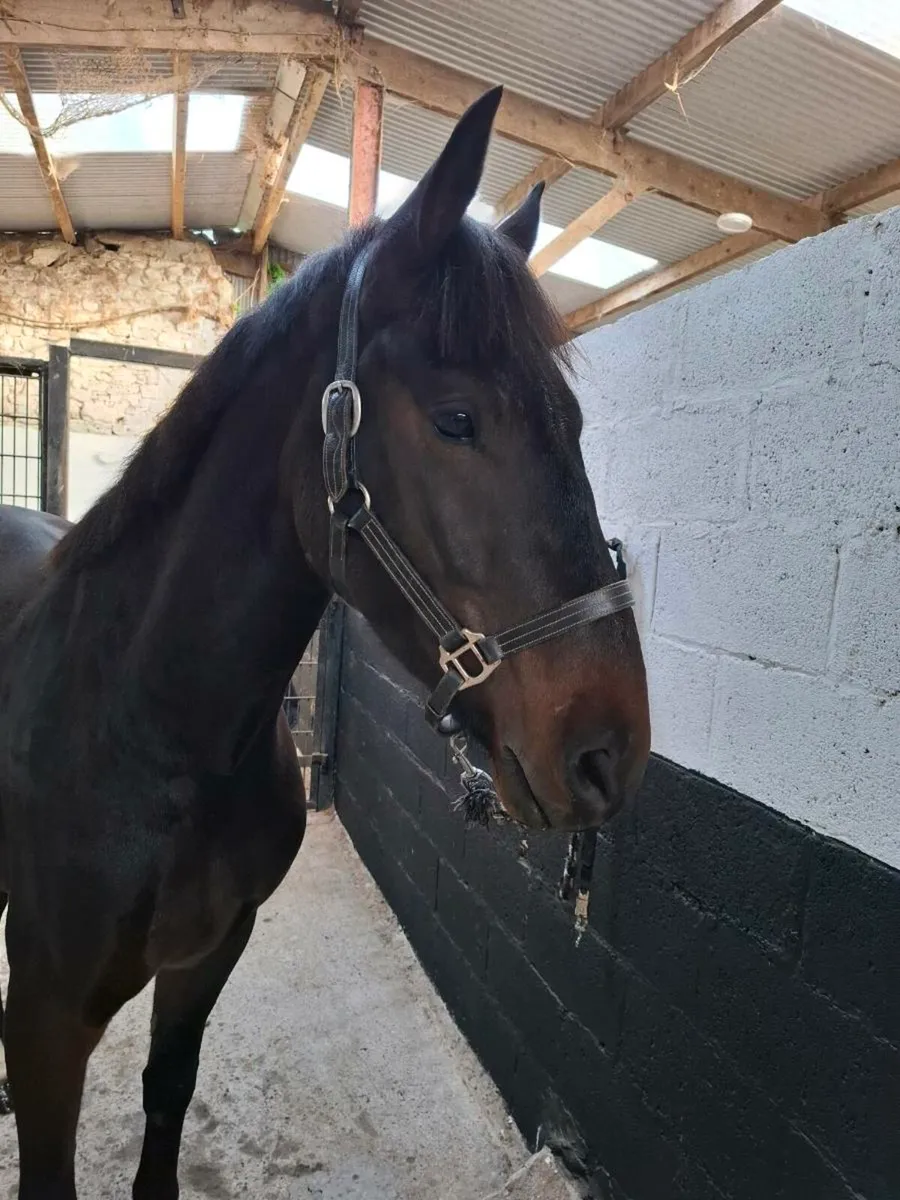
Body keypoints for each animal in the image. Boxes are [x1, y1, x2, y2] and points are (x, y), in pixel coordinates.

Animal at [0, 87, 650, 1199]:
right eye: (457, 419)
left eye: (570, 420)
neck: (149, 736)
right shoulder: (46, 1021)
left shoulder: (206, 957)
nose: (612, 750)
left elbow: (166, 1104)